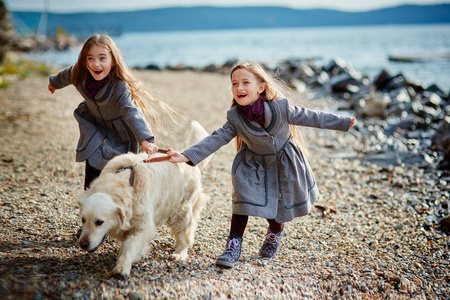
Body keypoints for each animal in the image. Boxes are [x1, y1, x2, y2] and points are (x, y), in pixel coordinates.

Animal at [77, 120, 209, 276]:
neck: (124, 185)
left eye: (99, 222)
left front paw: (122, 267)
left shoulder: (143, 225)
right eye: (83, 220)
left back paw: (179, 253)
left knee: (185, 234)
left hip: (181, 211)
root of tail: (184, 155)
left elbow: (130, 246)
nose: (83, 244)